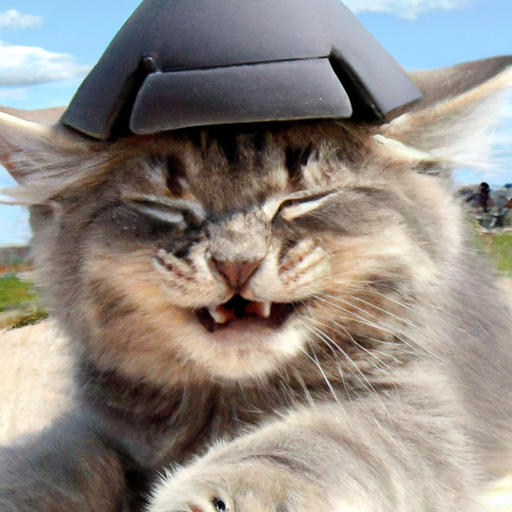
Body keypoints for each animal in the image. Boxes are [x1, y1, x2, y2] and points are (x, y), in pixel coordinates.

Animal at [0, 55, 512, 512]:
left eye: (301, 200)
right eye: (165, 208)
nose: (236, 264)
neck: (228, 403)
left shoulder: (418, 411)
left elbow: (315, 442)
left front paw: (213, 496)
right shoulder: (102, 428)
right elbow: (49, 466)